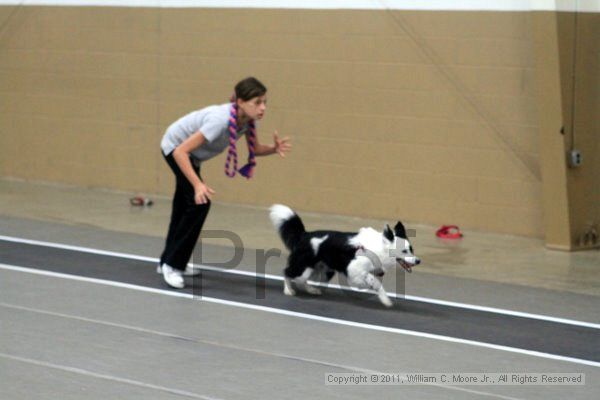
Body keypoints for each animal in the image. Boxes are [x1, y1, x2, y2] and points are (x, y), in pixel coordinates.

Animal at [270, 205, 420, 308]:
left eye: (411, 249)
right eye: (404, 251)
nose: (418, 261)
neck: (379, 249)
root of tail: (304, 235)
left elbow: (378, 285)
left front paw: (385, 300)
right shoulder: (353, 270)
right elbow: (373, 280)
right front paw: (373, 287)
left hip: (321, 271)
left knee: (302, 280)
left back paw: (312, 290)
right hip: (304, 267)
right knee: (288, 272)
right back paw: (288, 290)